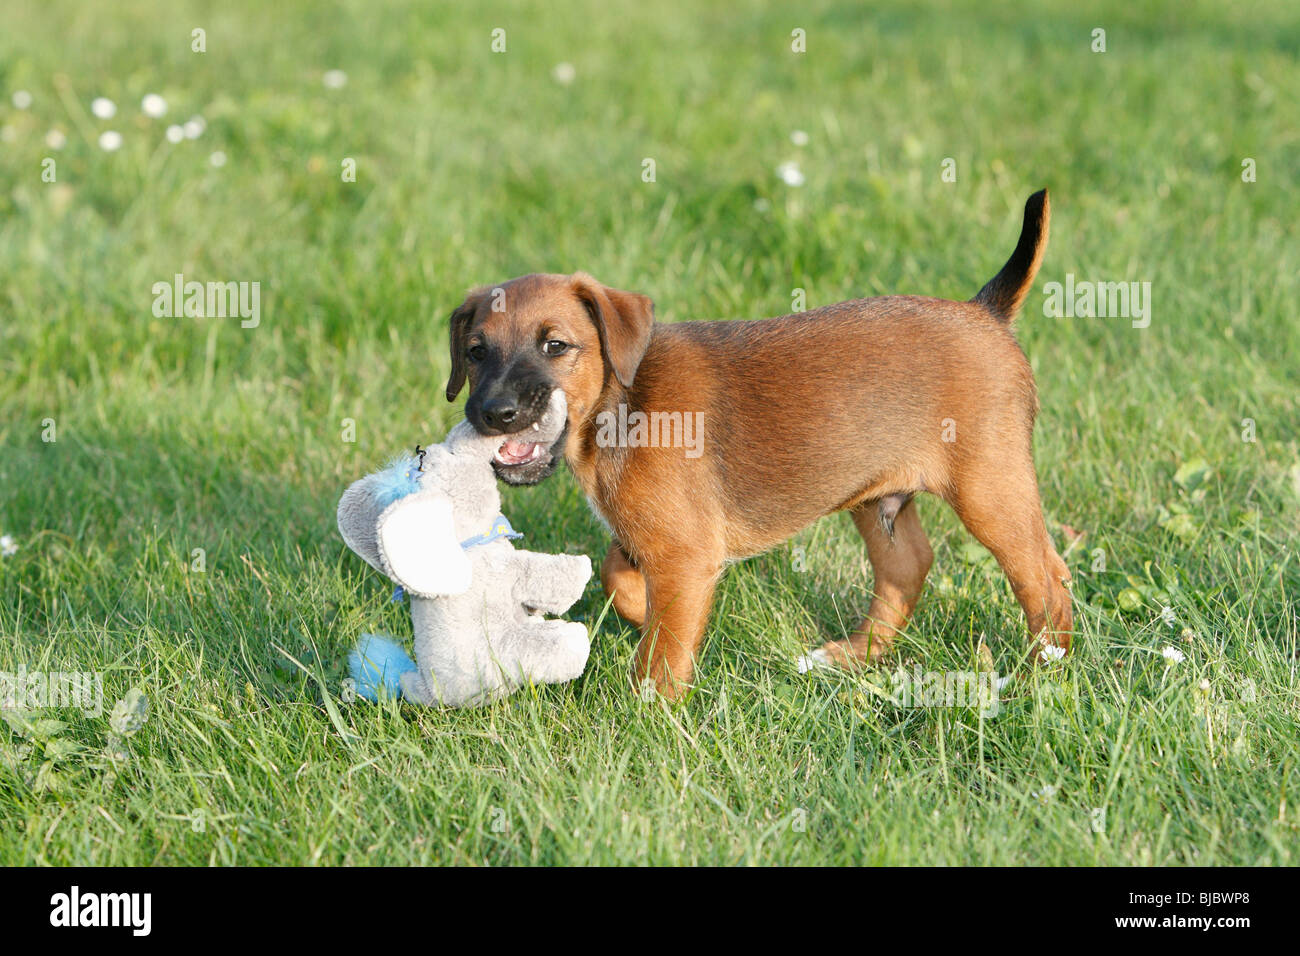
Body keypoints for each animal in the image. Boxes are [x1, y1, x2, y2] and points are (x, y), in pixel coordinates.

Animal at [441, 191, 1071, 697]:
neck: (620, 403)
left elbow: (661, 653)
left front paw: (650, 710)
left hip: (989, 490)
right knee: (909, 567)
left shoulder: (684, 553)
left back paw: (1044, 671)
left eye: (556, 346)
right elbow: (619, 577)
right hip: (876, 497)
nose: (495, 412)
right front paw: (643, 616)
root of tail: (985, 311)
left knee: (1046, 577)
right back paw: (851, 656)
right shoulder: (659, 541)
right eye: (475, 352)